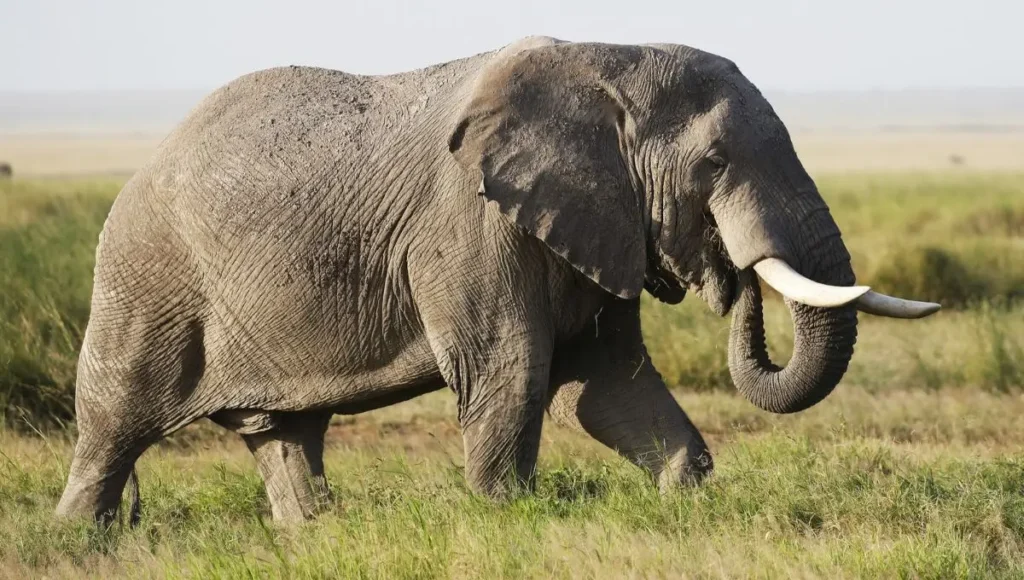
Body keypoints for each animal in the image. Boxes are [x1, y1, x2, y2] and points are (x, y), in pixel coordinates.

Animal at [54, 36, 937, 528]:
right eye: (714, 164)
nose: (733, 274)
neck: (605, 63)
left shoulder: (592, 216)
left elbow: (608, 386)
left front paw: (684, 501)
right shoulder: (468, 224)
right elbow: (512, 370)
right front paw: (505, 517)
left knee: (286, 434)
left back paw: (312, 537)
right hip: (146, 275)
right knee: (111, 422)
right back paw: (78, 540)